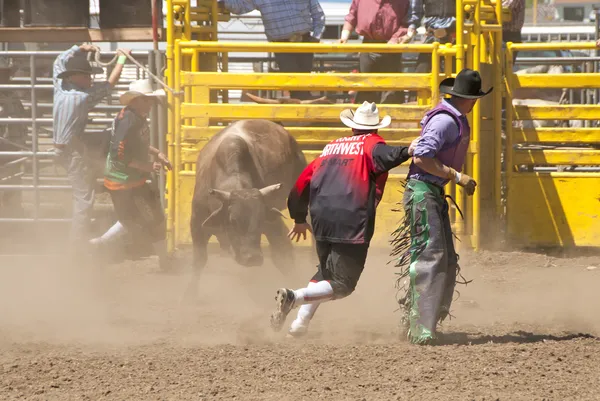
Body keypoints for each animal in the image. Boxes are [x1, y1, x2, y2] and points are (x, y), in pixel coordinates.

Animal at [188, 117, 308, 290]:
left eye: (260, 219)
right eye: (233, 221)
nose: (252, 258)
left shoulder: (271, 222)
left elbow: (283, 256)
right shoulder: (197, 222)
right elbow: (199, 260)